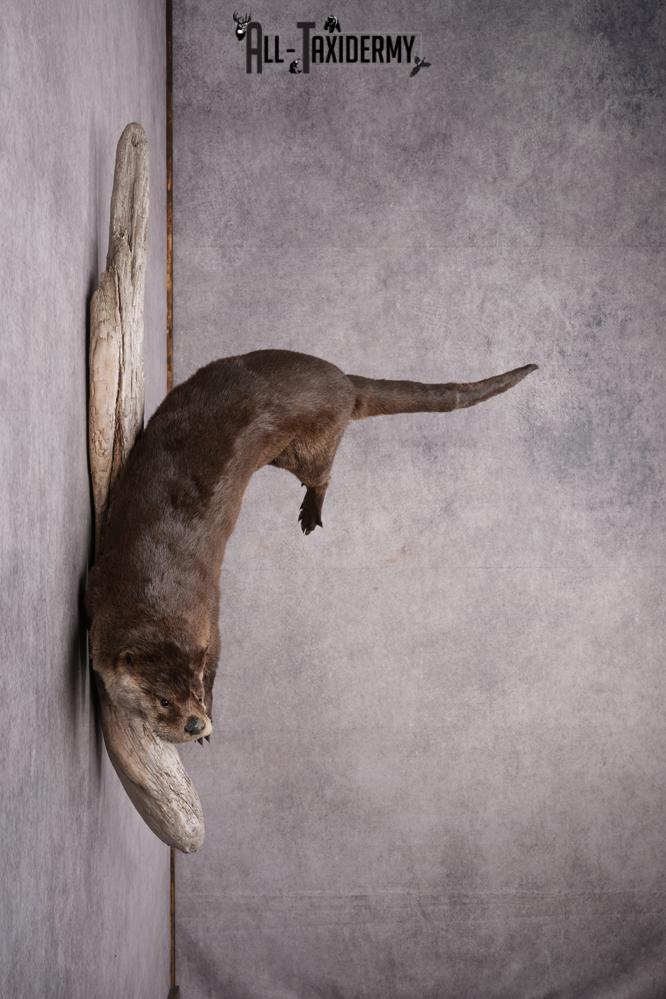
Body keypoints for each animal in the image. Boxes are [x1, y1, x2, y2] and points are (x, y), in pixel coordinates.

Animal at [86, 349, 537, 745]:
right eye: (163, 700)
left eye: (195, 691)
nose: (195, 724)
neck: (156, 582)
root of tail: (341, 379)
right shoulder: (101, 587)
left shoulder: (209, 618)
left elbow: (217, 658)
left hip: (309, 445)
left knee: (321, 475)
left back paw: (311, 513)